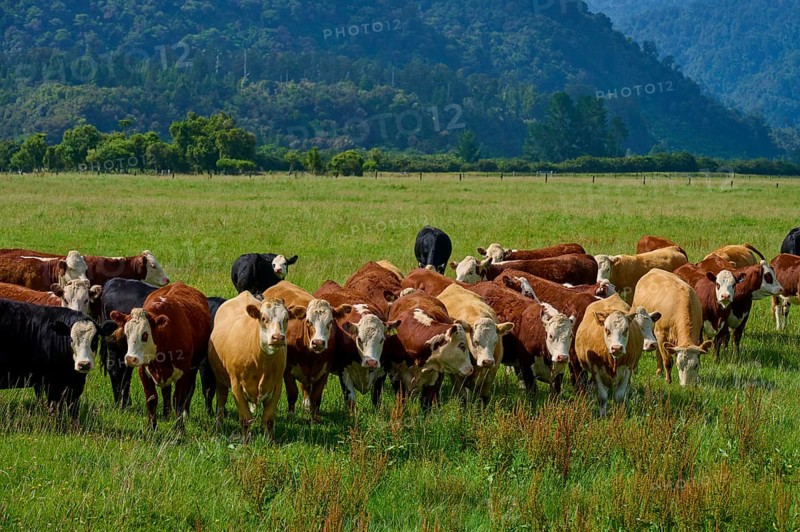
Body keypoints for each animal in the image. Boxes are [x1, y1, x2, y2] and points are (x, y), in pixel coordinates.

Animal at [109, 282, 211, 430]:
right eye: (126, 333)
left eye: (145, 334)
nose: (130, 358)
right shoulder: (143, 370)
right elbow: (151, 399)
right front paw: (152, 428)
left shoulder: (183, 373)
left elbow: (179, 400)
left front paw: (179, 429)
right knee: (166, 391)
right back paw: (166, 415)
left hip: (192, 369)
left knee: (189, 390)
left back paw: (184, 414)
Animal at [208, 293, 303, 440]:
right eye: (264, 318)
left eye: (286, 318)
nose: (277, 337)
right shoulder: (236, 385)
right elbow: (245, 418)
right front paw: (246, 440)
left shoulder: (276, 385)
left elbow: (268, 419)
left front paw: (269, 441)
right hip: (220, 380)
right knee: (221, 401)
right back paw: (219, 426)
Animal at [263, 281, 350, 421]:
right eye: (308, 321)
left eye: (330, 322)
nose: (318, 342)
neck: (311, 355)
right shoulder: (288, 369)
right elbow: (292, 393)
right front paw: (291, 416)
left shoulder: (324, 370)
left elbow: (316, 396)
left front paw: (314, 418)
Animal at [313, 280, 401, 410]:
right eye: (359, 339)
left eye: (382, 340)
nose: (371, 362)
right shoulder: (344, 372)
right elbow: (351, 401)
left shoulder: (381, 372)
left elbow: (376, 398)